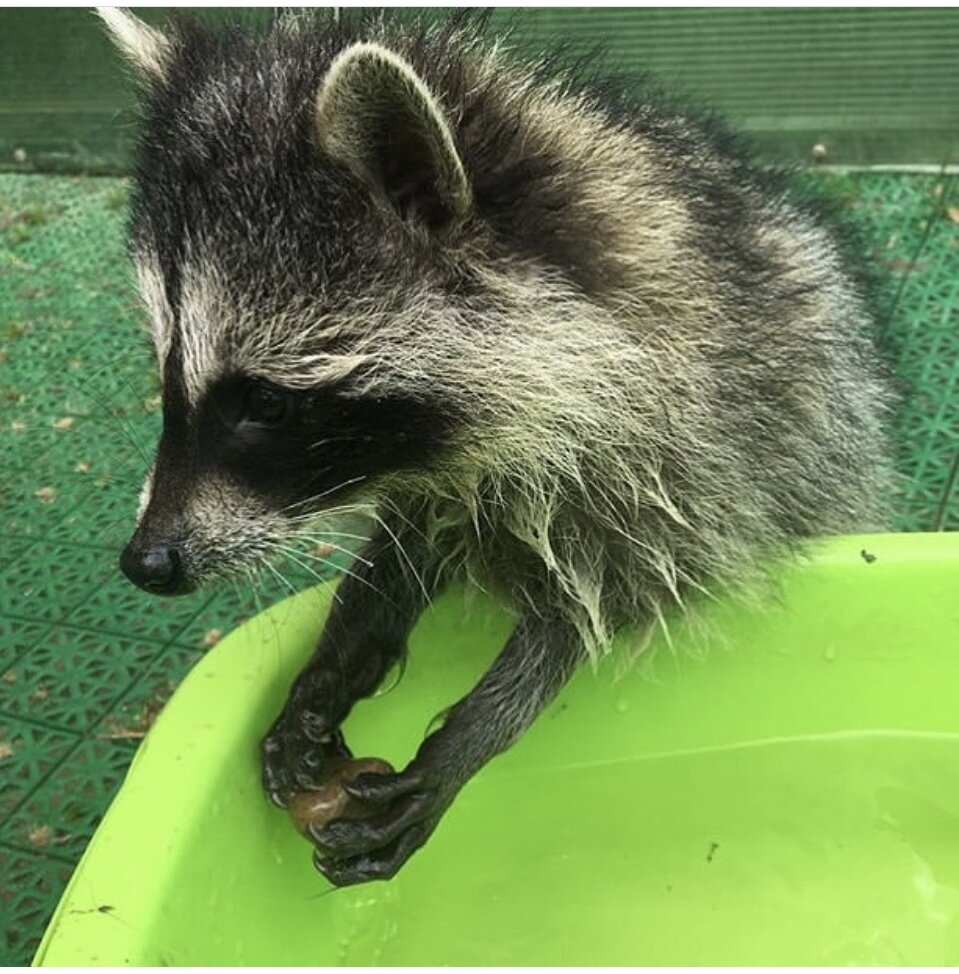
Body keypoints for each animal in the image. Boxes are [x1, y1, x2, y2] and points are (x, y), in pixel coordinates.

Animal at [101, 7, 896, 888]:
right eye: (163, 373)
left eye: (266, 403)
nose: (145, 562)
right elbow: (409, 540)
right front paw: (339, 651)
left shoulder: (694, 450)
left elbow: (608, 596)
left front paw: (477, 728)